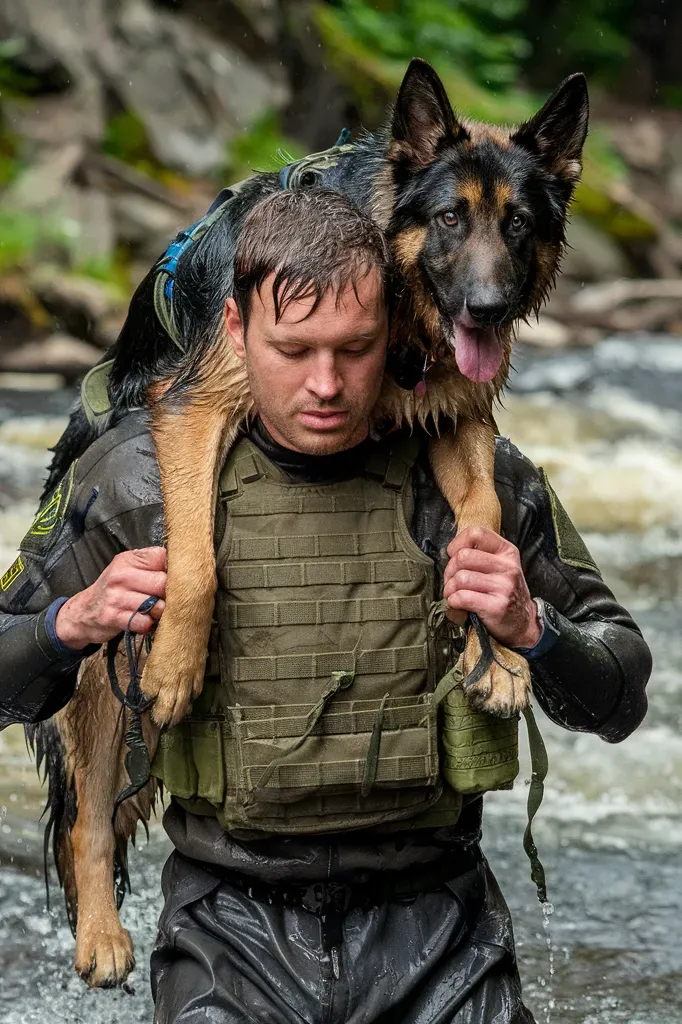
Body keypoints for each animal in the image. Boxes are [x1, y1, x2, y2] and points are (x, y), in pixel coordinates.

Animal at [29, 59, 585, 987]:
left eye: (518, 224)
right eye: (449, 217)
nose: (485, 310)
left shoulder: (456, 413)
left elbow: (487, 516)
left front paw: (502, 653)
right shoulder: (193, 408)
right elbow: (199, 561)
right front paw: (178, 663)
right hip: (102, 671)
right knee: (88, 815)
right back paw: (102, 934)